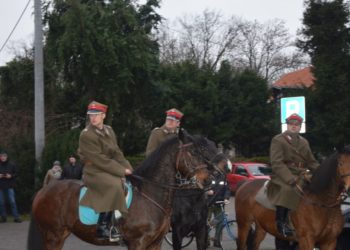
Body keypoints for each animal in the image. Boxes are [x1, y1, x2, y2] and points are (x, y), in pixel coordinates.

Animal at [27, 130, 220, 249]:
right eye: (194, 153)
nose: (209, 180)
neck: (150, 193)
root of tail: (43, 191)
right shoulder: (138, 242)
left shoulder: (155, 243)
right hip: (53, 236)